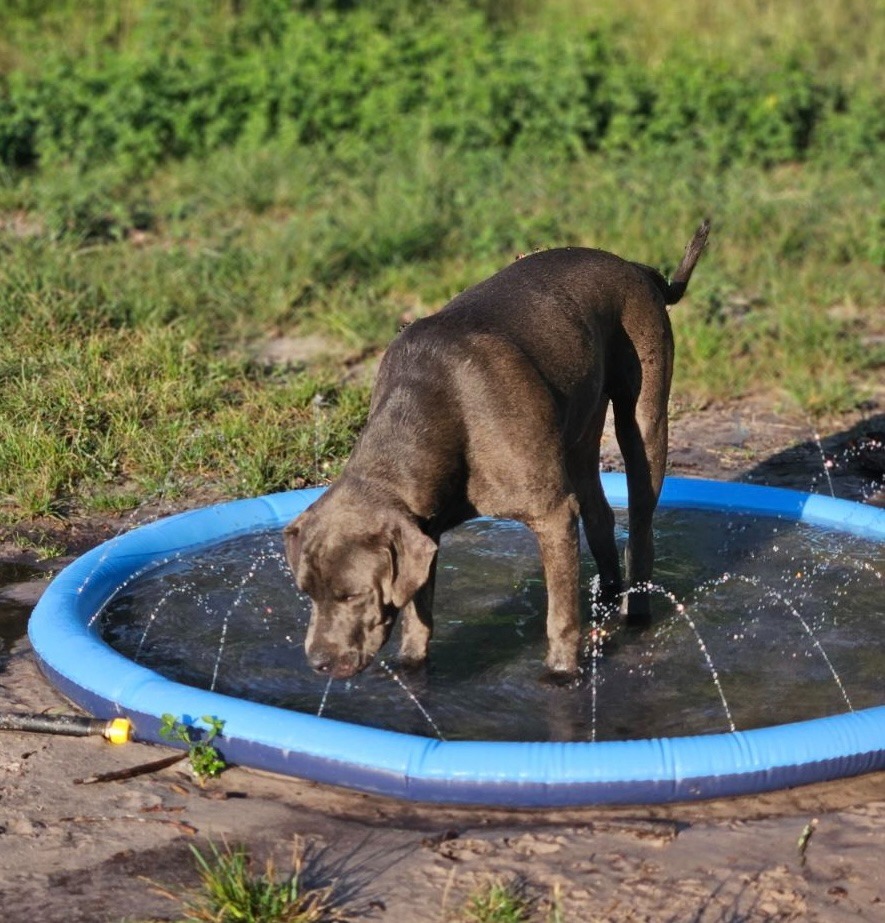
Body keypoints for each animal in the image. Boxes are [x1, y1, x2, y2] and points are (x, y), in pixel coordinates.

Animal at [286, 222, 708, 680]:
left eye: (351, 594)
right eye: (307, 592)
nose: (318, 662)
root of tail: (635, 266)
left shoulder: (553, 515)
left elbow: (561, 615)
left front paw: (561, 673)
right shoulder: (424, 530)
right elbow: (418, 615)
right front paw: (413, 668)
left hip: (643, 422)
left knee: (641, 527)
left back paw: (636, 614)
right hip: (579, 430)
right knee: (600, 515)